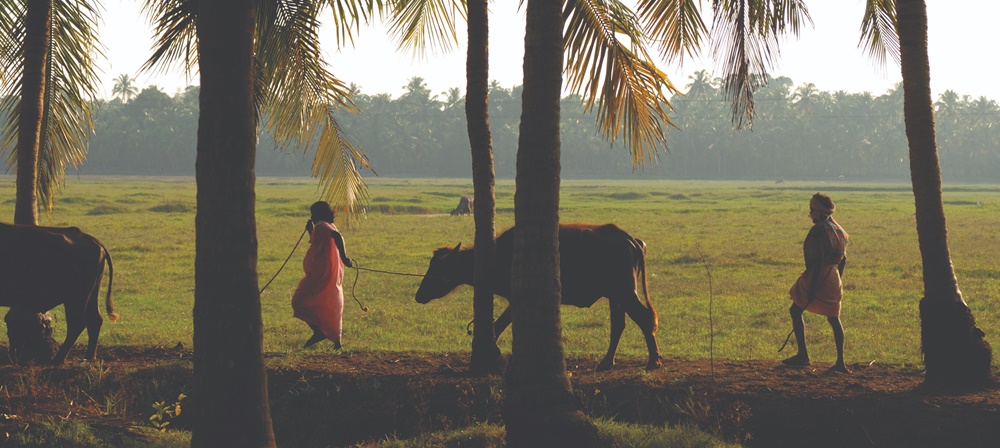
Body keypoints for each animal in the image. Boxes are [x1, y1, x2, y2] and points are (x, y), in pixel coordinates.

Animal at [0, 224, 116, 364]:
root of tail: (86, 237)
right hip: (92, 294)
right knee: (95, 320)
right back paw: (89, 357)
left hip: (75, 298)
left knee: (77, 323)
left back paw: (58, 359)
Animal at [416, 221, 664, 372]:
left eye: (438, 268)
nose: (419, 294)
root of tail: (631, 239)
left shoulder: (516, 298)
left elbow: (499, 325)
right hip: (616, 295)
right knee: (619, 325)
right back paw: (606, 362)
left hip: (625, 292)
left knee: (644, 319)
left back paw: (654, 361)